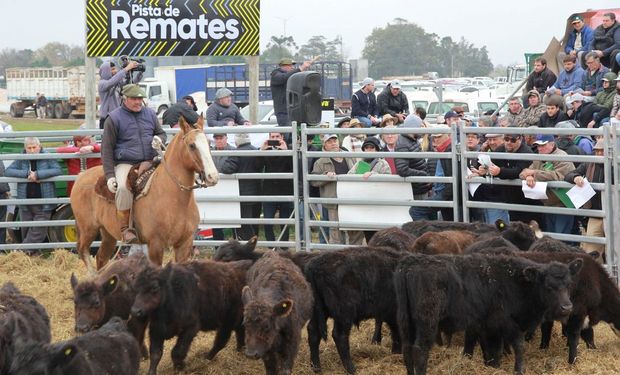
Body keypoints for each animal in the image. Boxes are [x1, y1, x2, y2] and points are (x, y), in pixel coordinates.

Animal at [70, 116, 219, 272]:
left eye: (209, 144)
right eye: (192, 145)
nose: (212, 176)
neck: (175, 199)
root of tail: (81, 176)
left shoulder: (184, 244)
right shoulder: (155, 245)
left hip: (108, 234)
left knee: (101, 258)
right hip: (88, 229)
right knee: (83, 251)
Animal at [394, 253, 584, 375]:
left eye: (568, 284)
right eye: (549, 287)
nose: (567, 307)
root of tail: (411, 262)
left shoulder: (488, 327)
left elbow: (494, 351)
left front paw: (493, 367)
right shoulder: (506, 323)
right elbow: (518, 346)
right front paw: (518, 370)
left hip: (406, 322)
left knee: (407, 349)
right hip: (427, 322)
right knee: (420, 350)